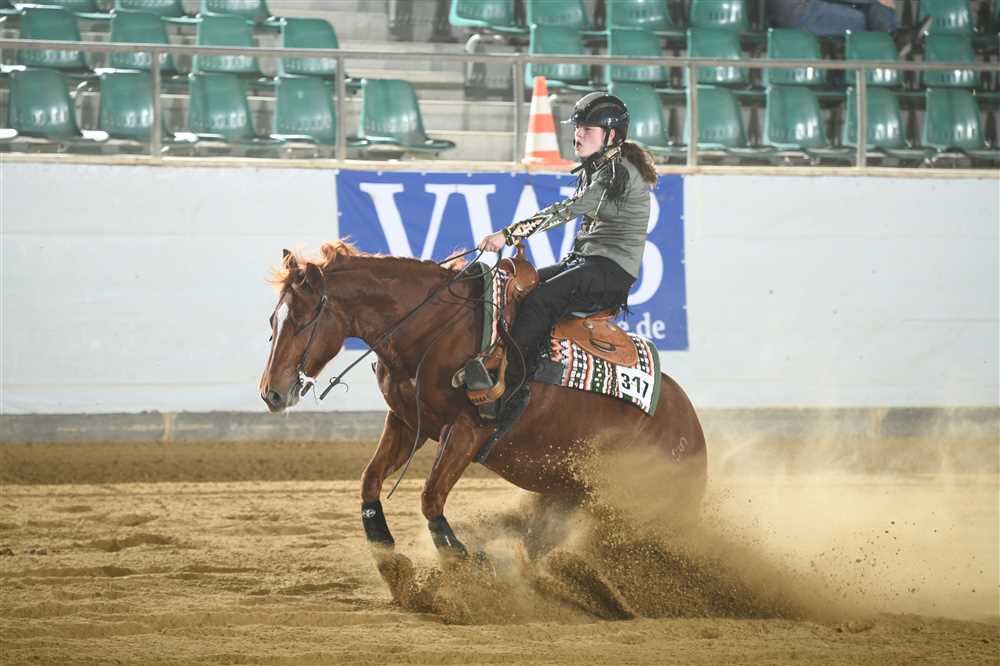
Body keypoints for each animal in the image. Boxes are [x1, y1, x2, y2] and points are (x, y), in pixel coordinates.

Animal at [259, 240, 707, 568]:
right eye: (273, 320)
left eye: (301, 320)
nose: (271, 393)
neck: (435, 329)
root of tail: (691, 429)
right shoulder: (406, 422)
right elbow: (370, 480)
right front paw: (384, 544)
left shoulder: (468, 430)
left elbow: (430, 497)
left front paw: (464, 558)